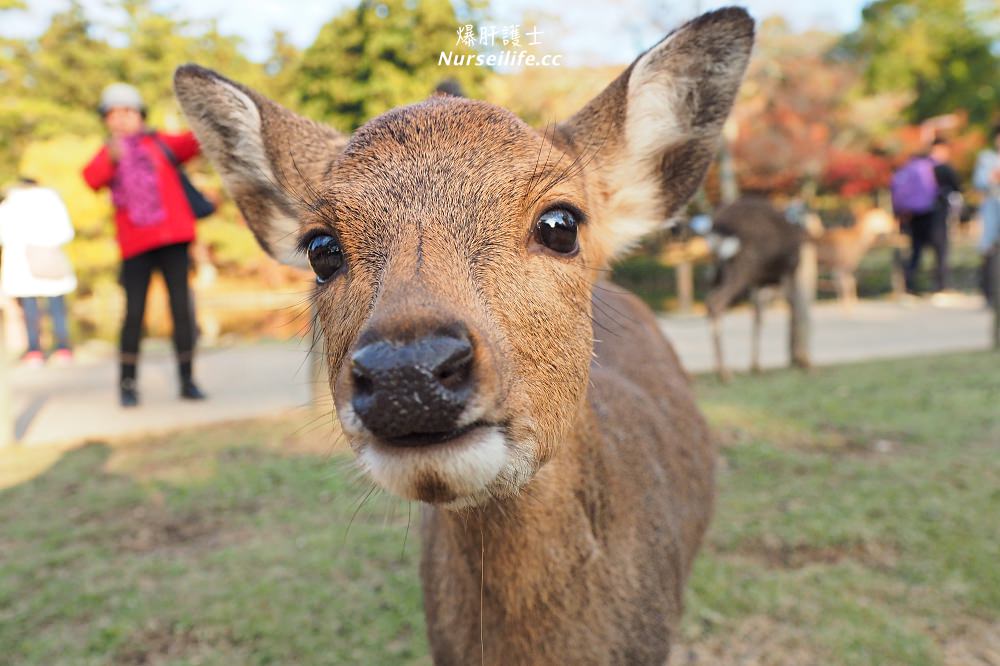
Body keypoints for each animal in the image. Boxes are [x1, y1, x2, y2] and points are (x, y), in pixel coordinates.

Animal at [704, 195, 804, 378]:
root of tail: (718, 227)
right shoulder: (787, 272)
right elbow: (795, 307)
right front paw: (803, 361)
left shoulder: (760, 282)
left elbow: (758, 316)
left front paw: (756, 365)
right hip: (744, 265)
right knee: (717, 301)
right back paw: (724, 372)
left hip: (718, 268)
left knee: (709, 301)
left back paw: (717, 368)